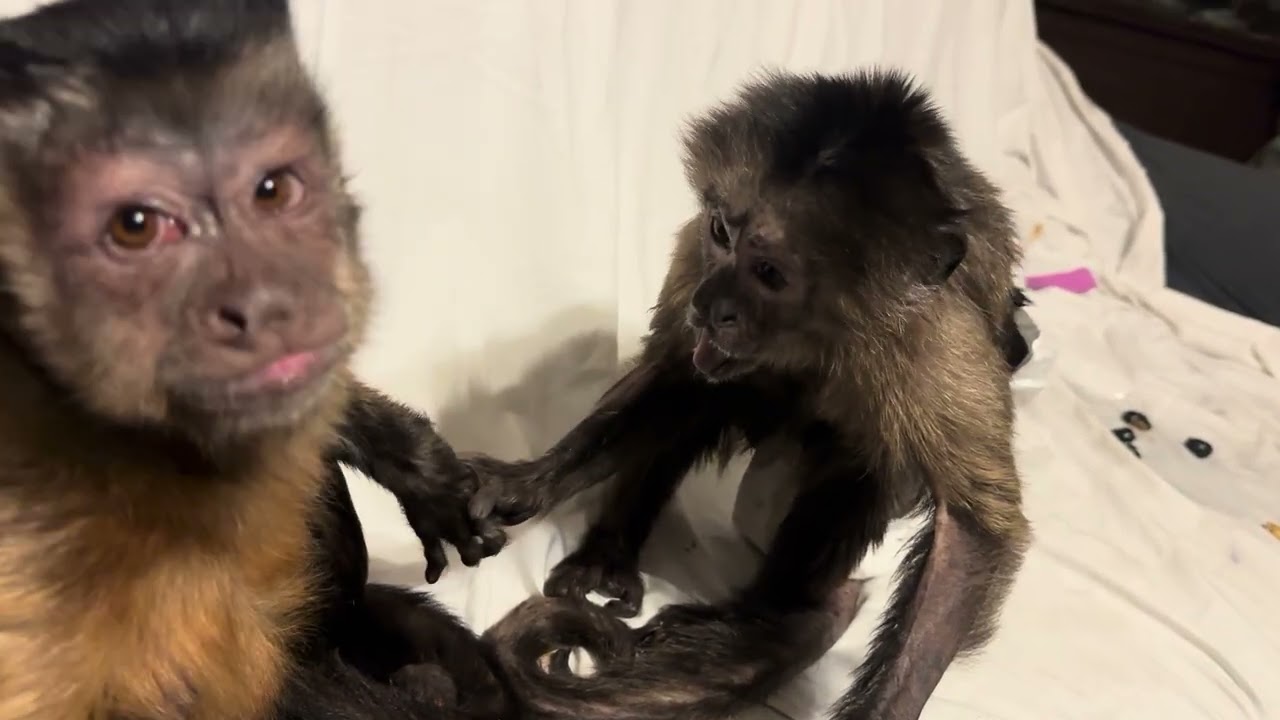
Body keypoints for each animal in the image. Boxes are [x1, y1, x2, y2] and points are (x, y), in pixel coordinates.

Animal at [461, 69, 1034, 720]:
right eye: (721, 233)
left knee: (861, 464)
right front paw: (529, 481)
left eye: (769, 273)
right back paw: (611, 548)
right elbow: (676, 375)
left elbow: (971, 533)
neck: (820, 341)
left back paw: (766, 614)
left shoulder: (934, 340)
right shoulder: (695, 258)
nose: (710, 306)